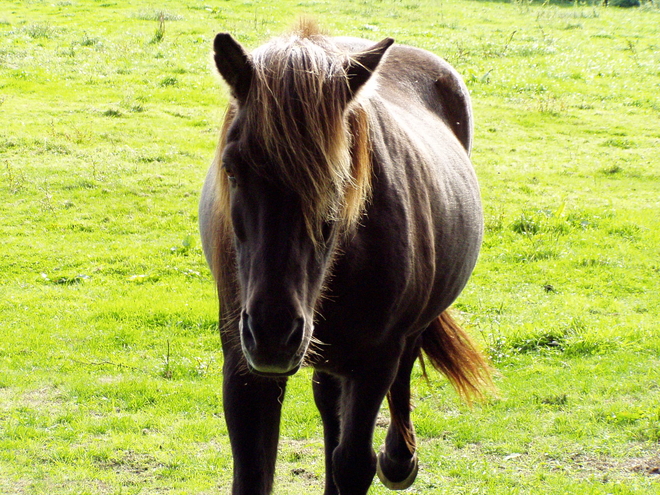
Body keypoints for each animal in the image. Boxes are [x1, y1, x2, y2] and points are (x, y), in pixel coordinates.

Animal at [199, 20, 492, 495]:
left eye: (341, 175)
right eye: (231, 168)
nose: (273, 333)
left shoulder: (374, 363)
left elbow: (354, 463)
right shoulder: (245, 369)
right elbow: (255, 471)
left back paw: (400, 460)